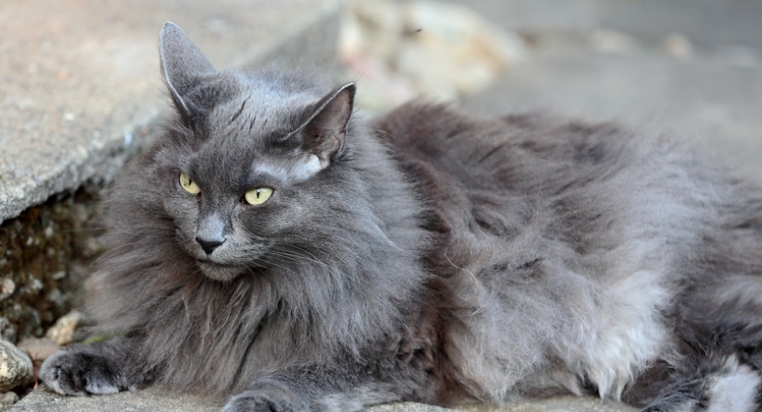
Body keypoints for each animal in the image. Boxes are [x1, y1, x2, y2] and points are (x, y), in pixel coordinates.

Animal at [40, 22, 760, 412]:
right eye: (189, 184)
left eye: (257, 197)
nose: (208, 240)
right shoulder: (189, 316)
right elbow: (150, 338)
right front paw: (83, 362)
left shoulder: (403, 350)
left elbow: (306, 372)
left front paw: (256, 395)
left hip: (696, 308)